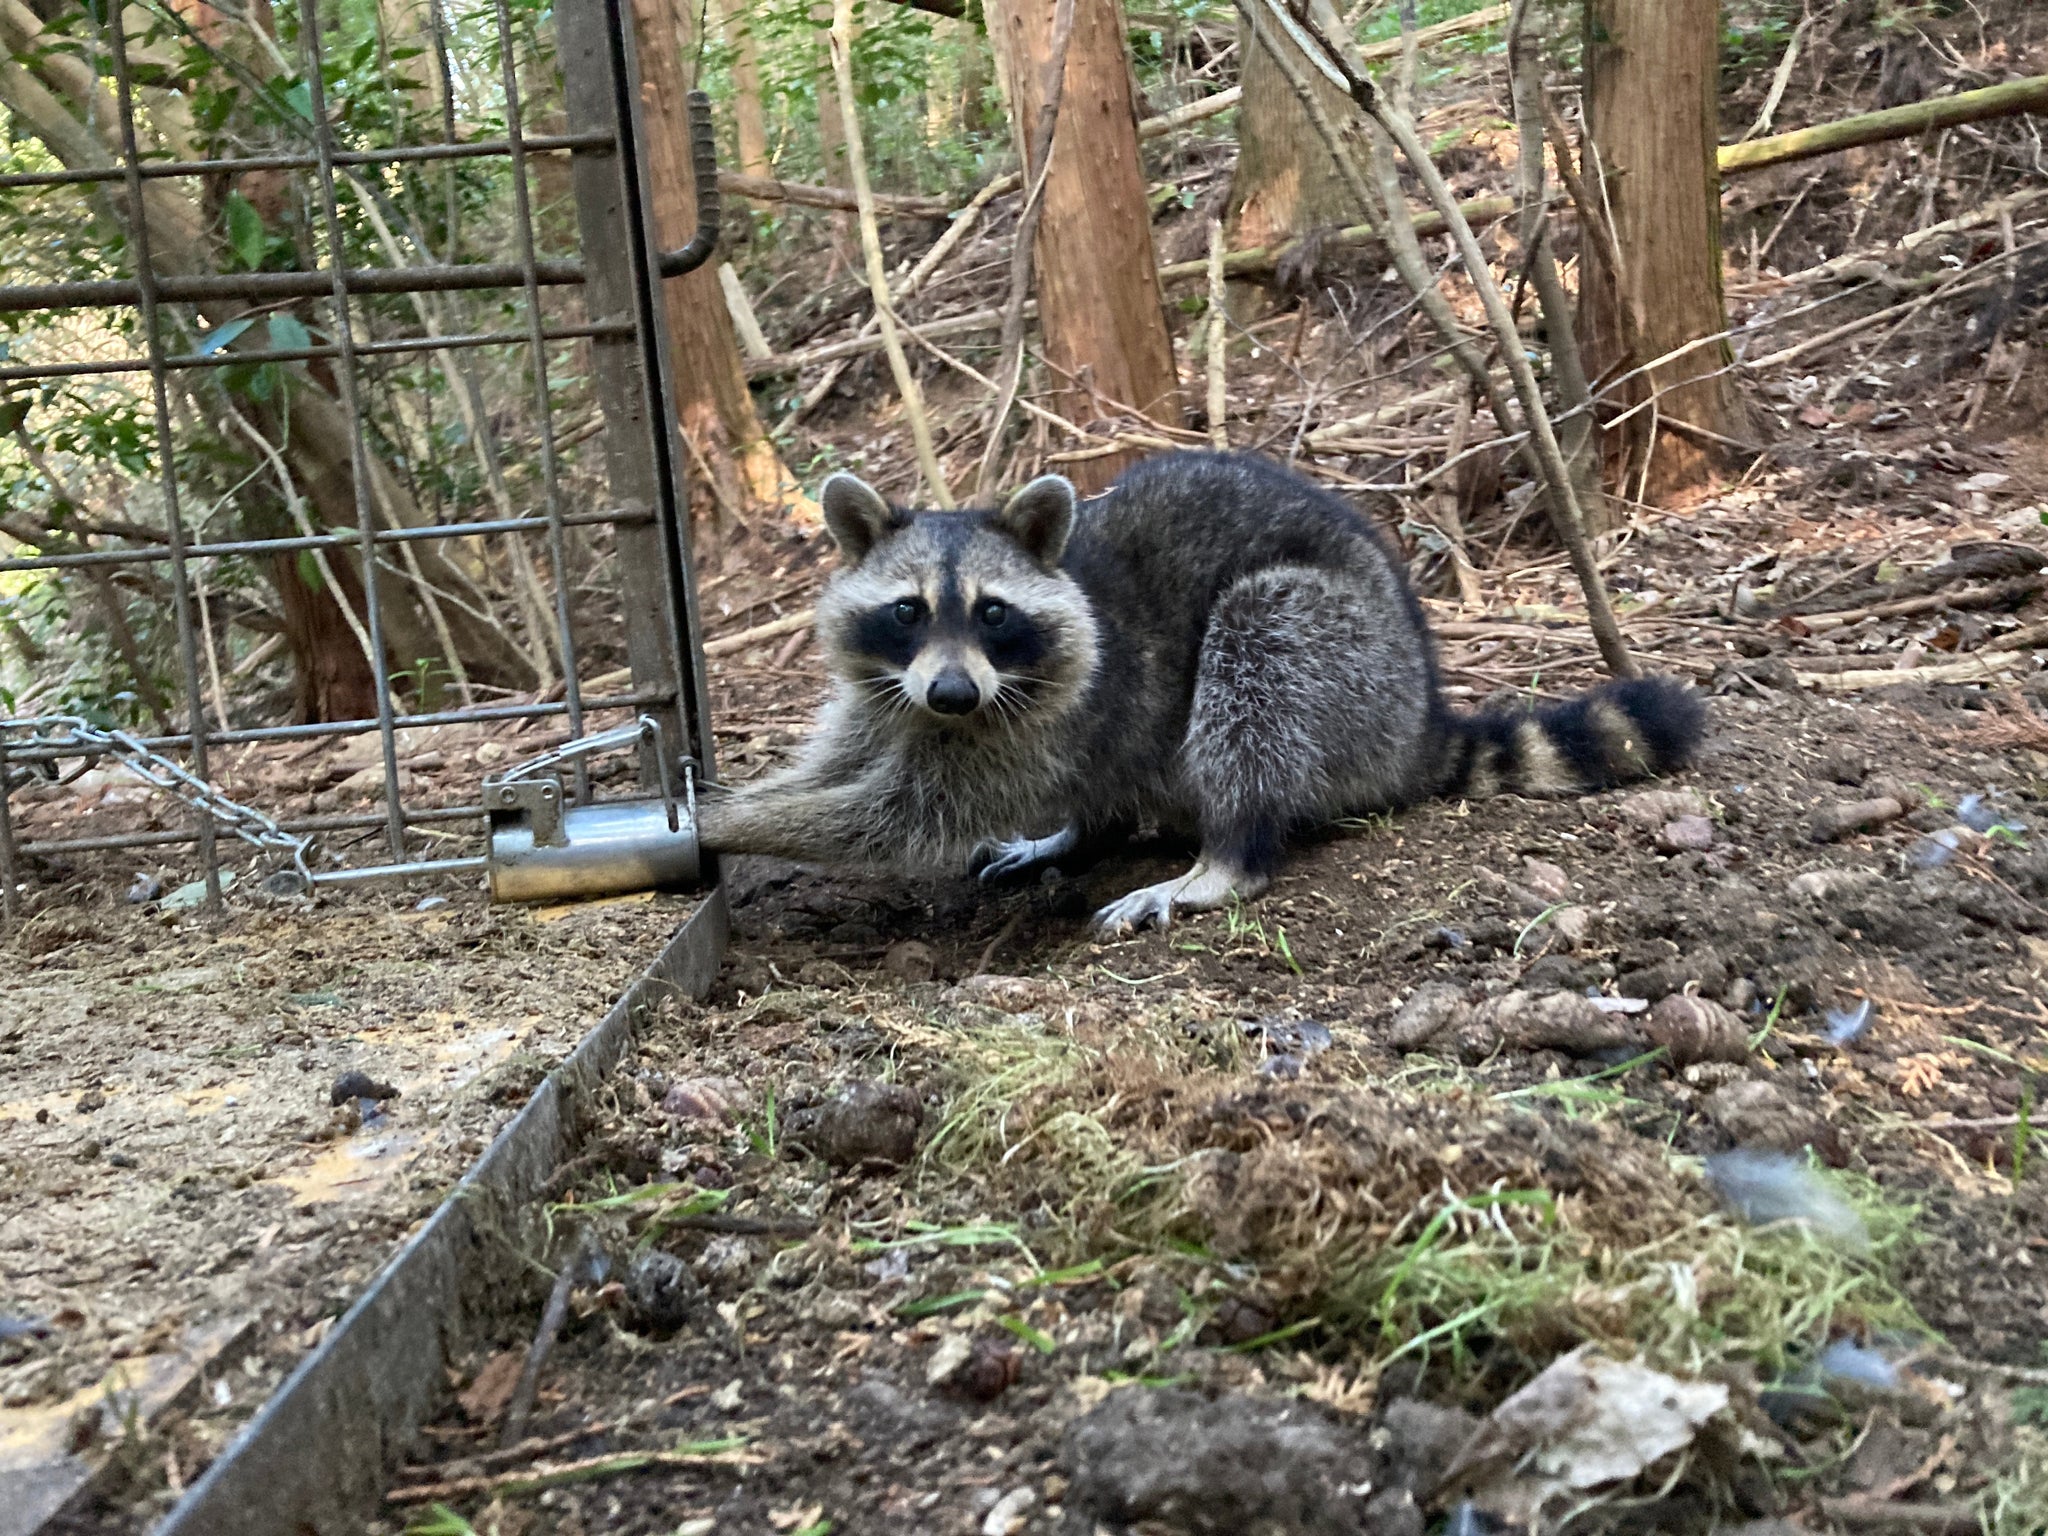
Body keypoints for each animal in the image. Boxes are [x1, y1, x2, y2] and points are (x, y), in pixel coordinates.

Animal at [696, 450, 1703, 933]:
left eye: (992, 613)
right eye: (907, 610)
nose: (950, 696)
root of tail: (1419, 715)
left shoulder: (1034, 717)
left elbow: (902, 816)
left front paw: (720, 824)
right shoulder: (885, 692)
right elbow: (843, 765)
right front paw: (732, 797)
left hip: (1347, 657)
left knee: (1254, 659)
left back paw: (1227, 855)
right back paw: (1081, 832)